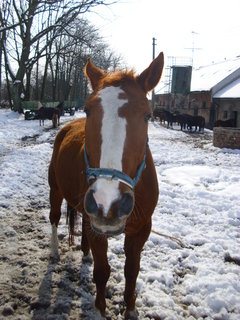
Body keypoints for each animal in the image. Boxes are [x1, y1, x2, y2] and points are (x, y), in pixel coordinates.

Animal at [49, 52, 165, 318]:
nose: (108, 203)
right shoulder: (97, 228)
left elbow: (132, 271)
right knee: (54, 218)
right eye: (88, 110)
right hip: (55, 190)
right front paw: (100, 310)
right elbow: (102, 272)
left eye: (148, 115)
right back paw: (54, 250)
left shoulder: (141, 229)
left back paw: (85, 252)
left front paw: (130, 309)